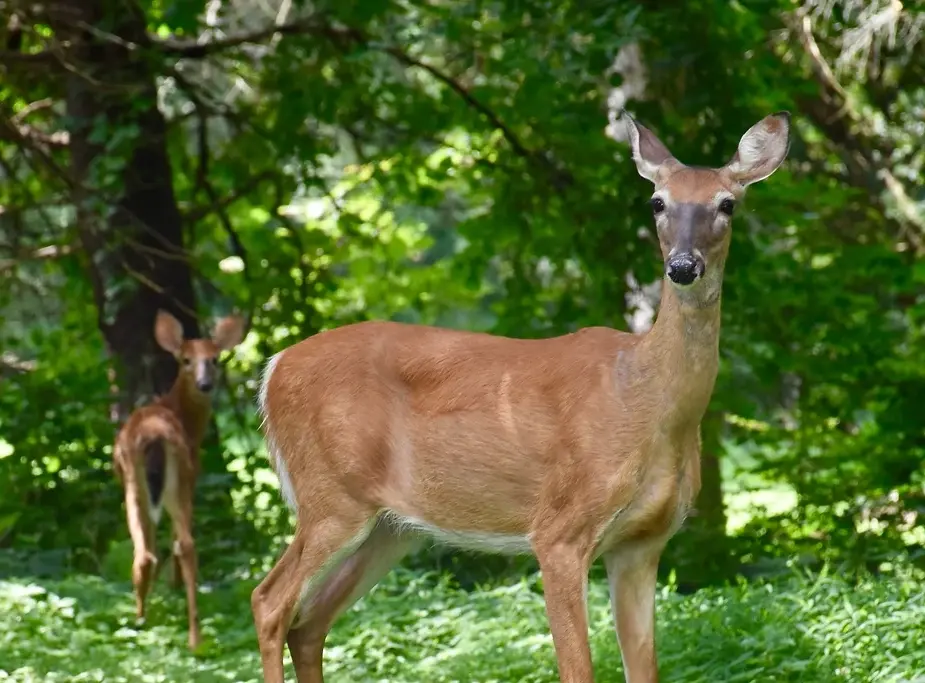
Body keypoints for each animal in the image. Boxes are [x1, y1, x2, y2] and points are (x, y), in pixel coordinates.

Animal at [112, 312, 245, 652]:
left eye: (214, 358)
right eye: (186, 359)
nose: (205, 384)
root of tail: (154, 434)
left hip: (154, 484)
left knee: (164, 547)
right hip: (151, 485)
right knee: (159, 549)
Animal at [251, 109, 788, 680]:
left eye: (727, 204)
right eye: (657, 202)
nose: (683, 266)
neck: (650, 404)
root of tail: (273, 369)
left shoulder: (643, 544)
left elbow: (643, 669)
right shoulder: (558, 529)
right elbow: (578, 669)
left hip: (391, 526)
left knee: (310, 622)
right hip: (331, 496)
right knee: (270, 602)